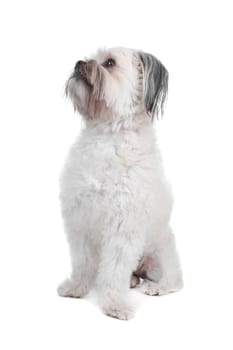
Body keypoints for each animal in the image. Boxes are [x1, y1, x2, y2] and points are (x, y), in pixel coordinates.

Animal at [57, 46, 183, 320]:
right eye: (91, 57)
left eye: (109, 62)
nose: (79, 63)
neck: (106, 134)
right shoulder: (80, 220)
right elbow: (82, 262)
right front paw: (77, 288)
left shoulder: (122, 227)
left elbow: (114, 270)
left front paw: (114, 304)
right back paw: (133, 281)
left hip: (161, 253)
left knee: (175, 280)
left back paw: (155, 287)